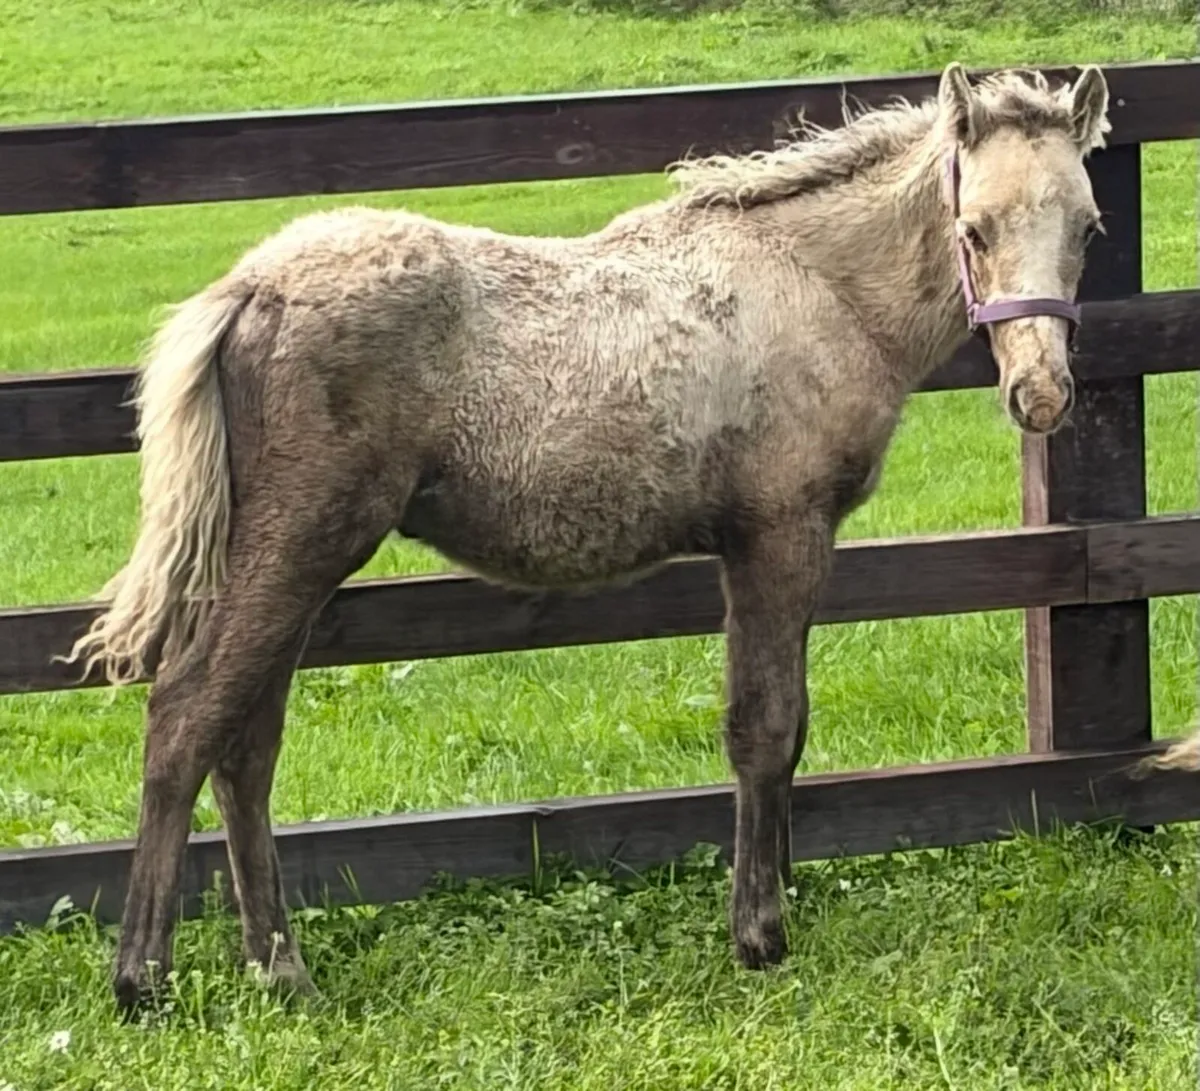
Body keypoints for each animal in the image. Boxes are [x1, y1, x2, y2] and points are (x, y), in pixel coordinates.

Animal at [62, 61, 1112, 1014]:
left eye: (1089, 228)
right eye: (975, 227)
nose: (1041, 394)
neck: (814, 286)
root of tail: (247, 287)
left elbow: (782, 729)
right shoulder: (780, 534)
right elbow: (765, 727)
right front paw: (760, 933)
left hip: (295, 563)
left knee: (247, 746)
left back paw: (282, 970)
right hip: (297, 546)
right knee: (186, 717)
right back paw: (141, 978)